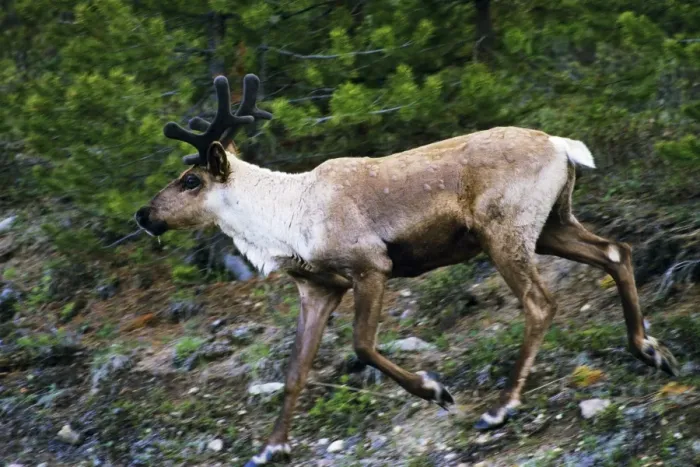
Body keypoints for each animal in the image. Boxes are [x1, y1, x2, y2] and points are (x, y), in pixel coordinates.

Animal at [135, 73, 679, 466]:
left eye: (189, 180)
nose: (143, 215)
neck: (288, 222)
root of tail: (563, 145)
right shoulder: (317, 288)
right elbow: (295, 371)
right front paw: (272, 448)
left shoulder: (371, 265)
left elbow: (362, 345)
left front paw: (435, 389)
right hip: (552, 225)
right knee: (616, 252)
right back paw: (651, 351)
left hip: (505, 232)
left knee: (541, 303)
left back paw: (500, 408)